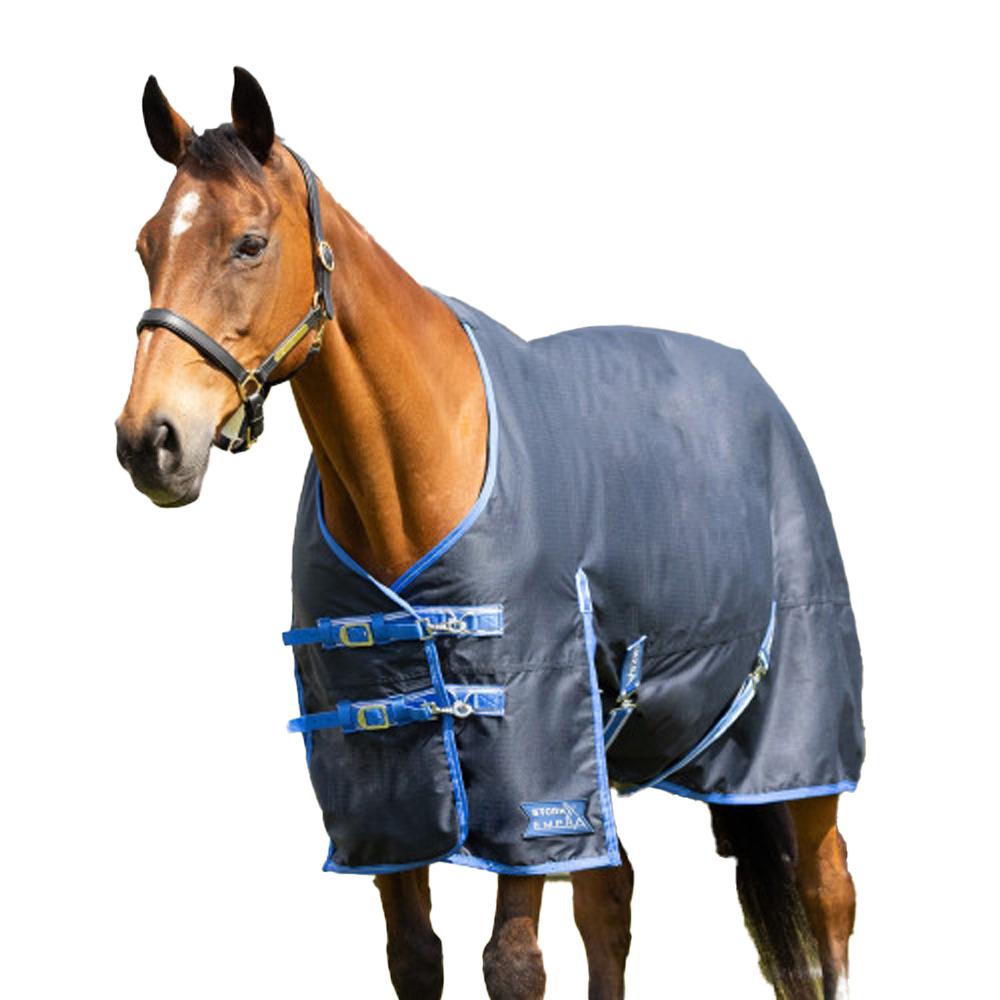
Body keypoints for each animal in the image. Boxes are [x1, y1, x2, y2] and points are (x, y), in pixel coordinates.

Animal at [116, 67, 860, 1000]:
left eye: (249, 244)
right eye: (146, 245)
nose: (150, 442)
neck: (418, 467)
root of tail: (761, 390)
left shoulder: (529, 762)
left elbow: (512, 964)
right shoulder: (386, 789)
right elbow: (415, 956)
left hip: (795, 732)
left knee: (828, 895)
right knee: (610, 904)